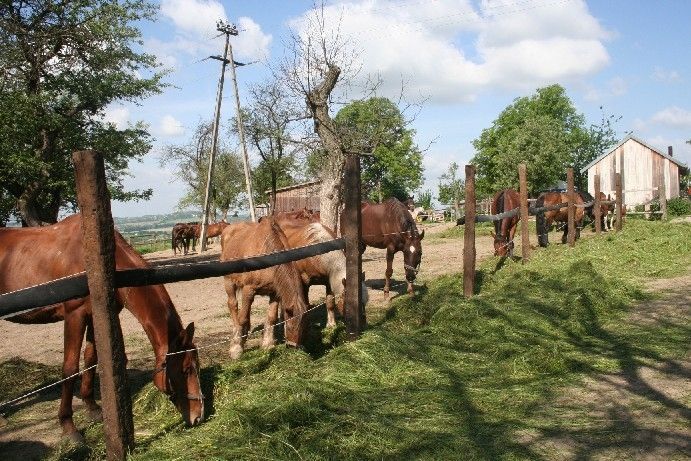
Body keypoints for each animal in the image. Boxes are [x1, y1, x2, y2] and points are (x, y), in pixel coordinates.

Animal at [0, 214, 205, 440]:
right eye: (186, 370)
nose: (199, 416)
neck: (93, 265)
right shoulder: (75, 316)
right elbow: (70, 368)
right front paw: (68, 426)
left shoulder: (95, 316)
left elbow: (91, 359)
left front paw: (92, 408)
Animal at [220, 217, 310, 358]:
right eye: (290, 325)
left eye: (304, 326)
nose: (293, 346)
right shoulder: (248, 290)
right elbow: (242, 318)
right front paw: (236, 348)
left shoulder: (275, 293)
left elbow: (271, 317)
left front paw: (267, 344)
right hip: (229, 281)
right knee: (233, 305)